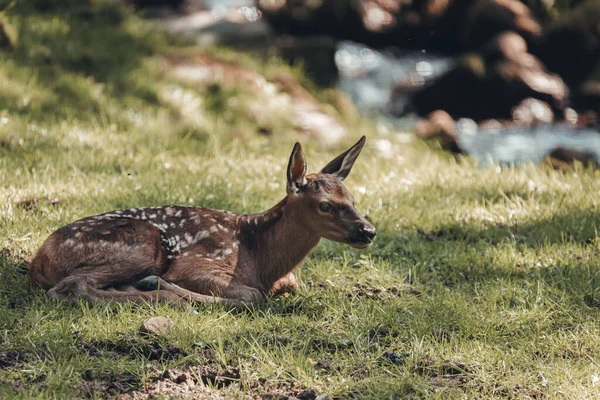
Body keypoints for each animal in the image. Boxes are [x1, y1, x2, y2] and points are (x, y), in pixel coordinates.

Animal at [30, 137, 376, 306]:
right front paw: (164, 285)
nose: (368, 230)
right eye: (325, 205)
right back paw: (160, 292)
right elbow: (253, 296)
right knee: (71, 286)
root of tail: (40, 258)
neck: (262, 259)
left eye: (353, 198)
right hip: (141, 244)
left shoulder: (287, 280)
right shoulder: (199, 263)